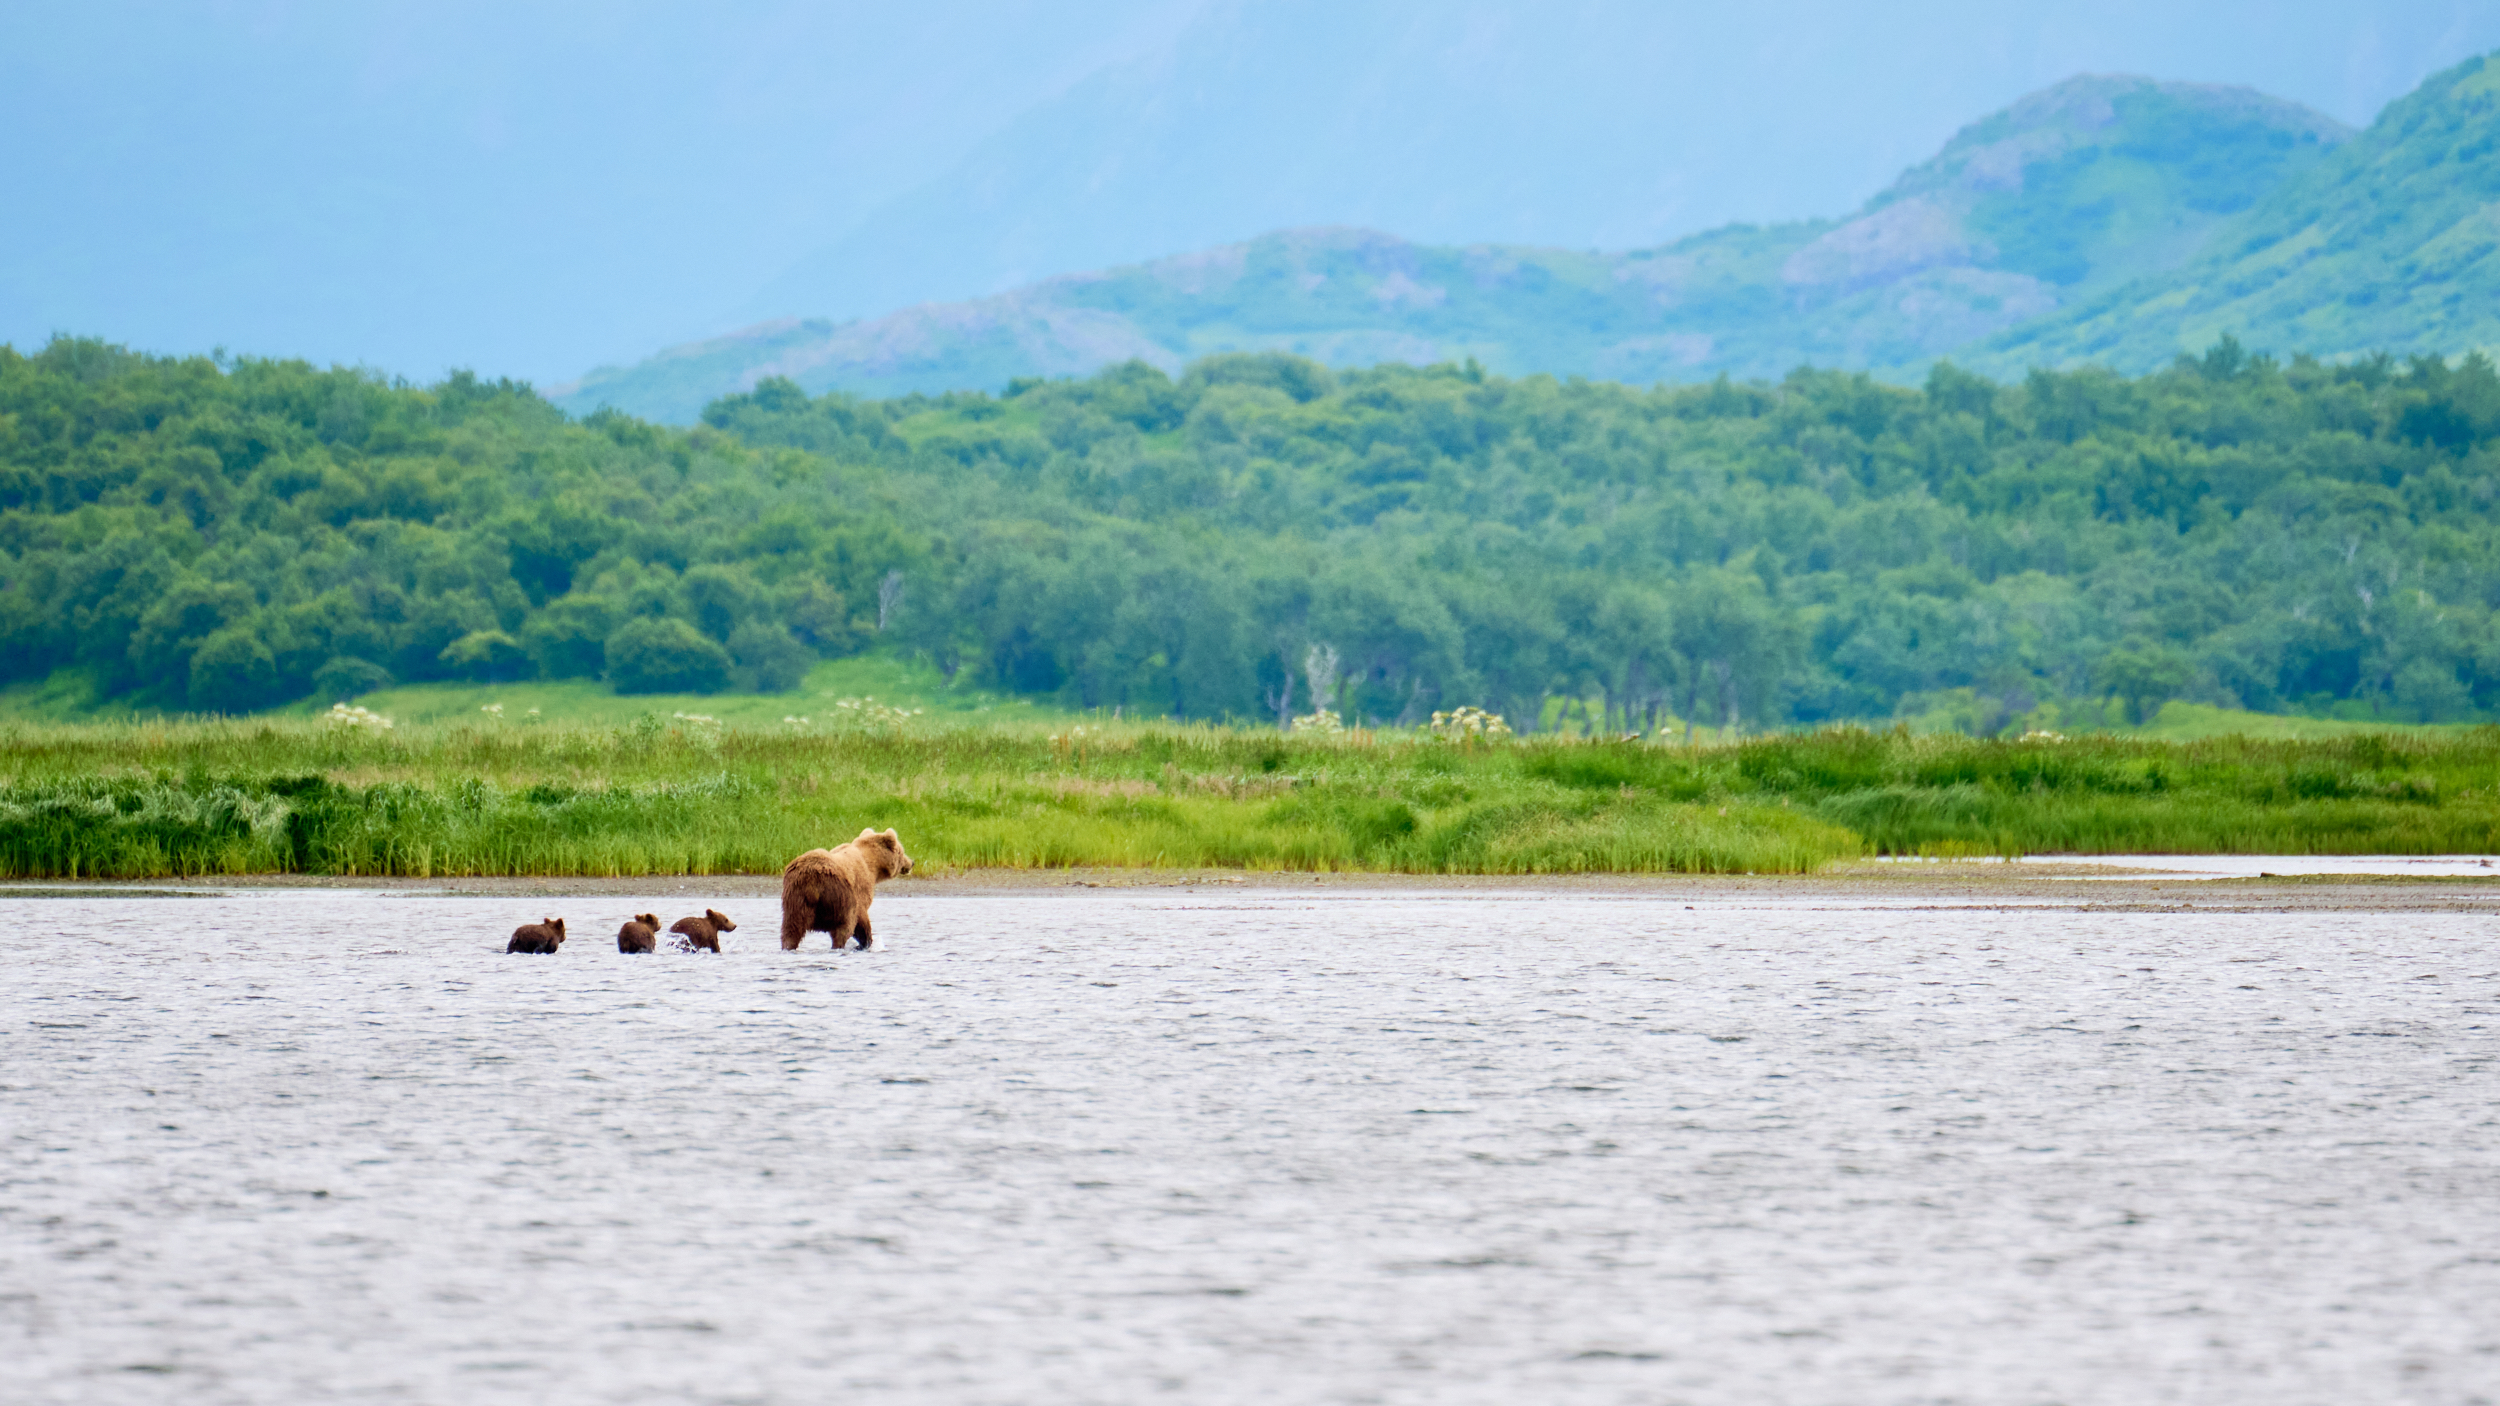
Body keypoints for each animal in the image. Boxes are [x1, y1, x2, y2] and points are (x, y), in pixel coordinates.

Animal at [780, 828, 913, 951]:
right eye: (901, 851)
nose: (912, 862)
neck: (873, 866)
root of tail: (813, 880)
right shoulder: (860, 891)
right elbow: (861, 920)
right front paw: (866, 942)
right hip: (838, 896)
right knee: (842, 928)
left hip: (796, 897)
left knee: (792, 929)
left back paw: (788, 947)